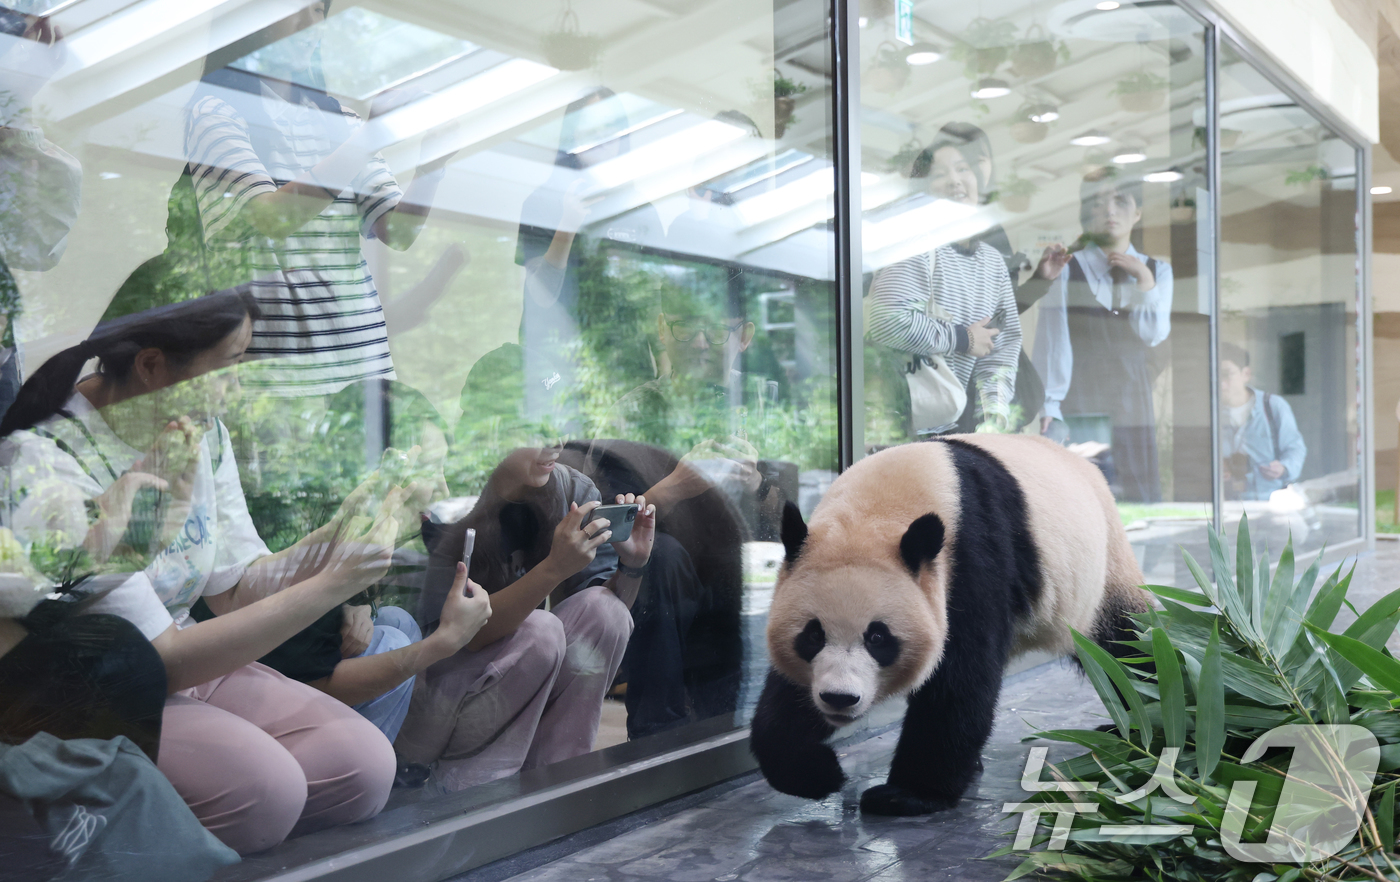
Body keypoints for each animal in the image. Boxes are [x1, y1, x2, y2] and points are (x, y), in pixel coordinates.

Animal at [750, 434, 1149, 816]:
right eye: (813, 635)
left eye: (878, 637)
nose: (839, 698)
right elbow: (787, 696)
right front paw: (816, 773)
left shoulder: (972, 556)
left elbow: (959, 678)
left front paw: (906, 795)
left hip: (1102, 571)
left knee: (1126, 647)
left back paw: (1143, 723)